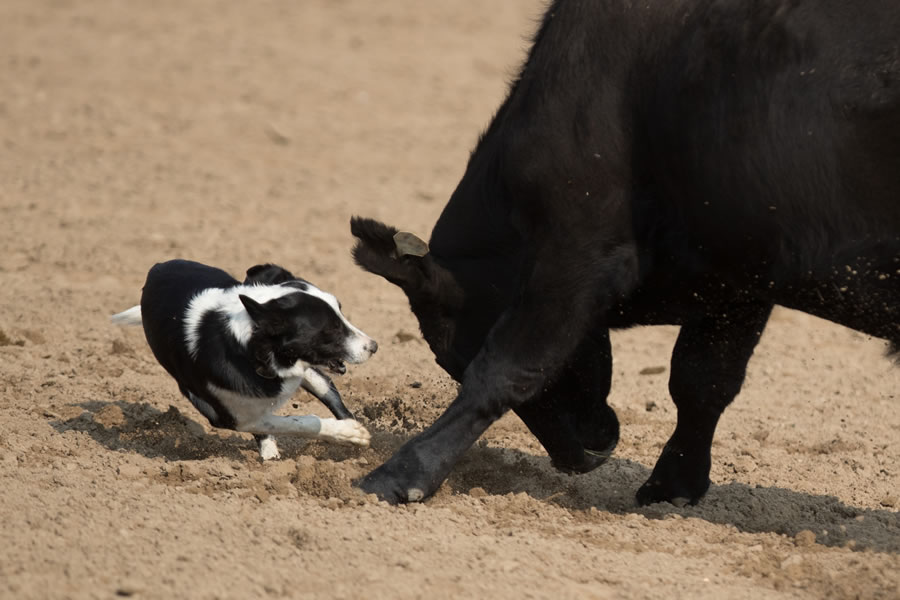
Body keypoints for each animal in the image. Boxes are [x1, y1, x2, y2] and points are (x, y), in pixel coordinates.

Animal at [111, 258, 376, 460]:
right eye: (331, 328)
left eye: (341, 311)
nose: (373, 346)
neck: (250, 343)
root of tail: (158, 267)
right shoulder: (230, 417)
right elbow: (299, 422)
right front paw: (350, 433)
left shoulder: (298, 368)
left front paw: (355, 434)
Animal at [350, 0, 900, 506]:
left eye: (453, 357)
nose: (578, 458)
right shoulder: (737, 279)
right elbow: (702, 380)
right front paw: (671, 487)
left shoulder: (578, 243)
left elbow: (507, 367)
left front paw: (400, 476)